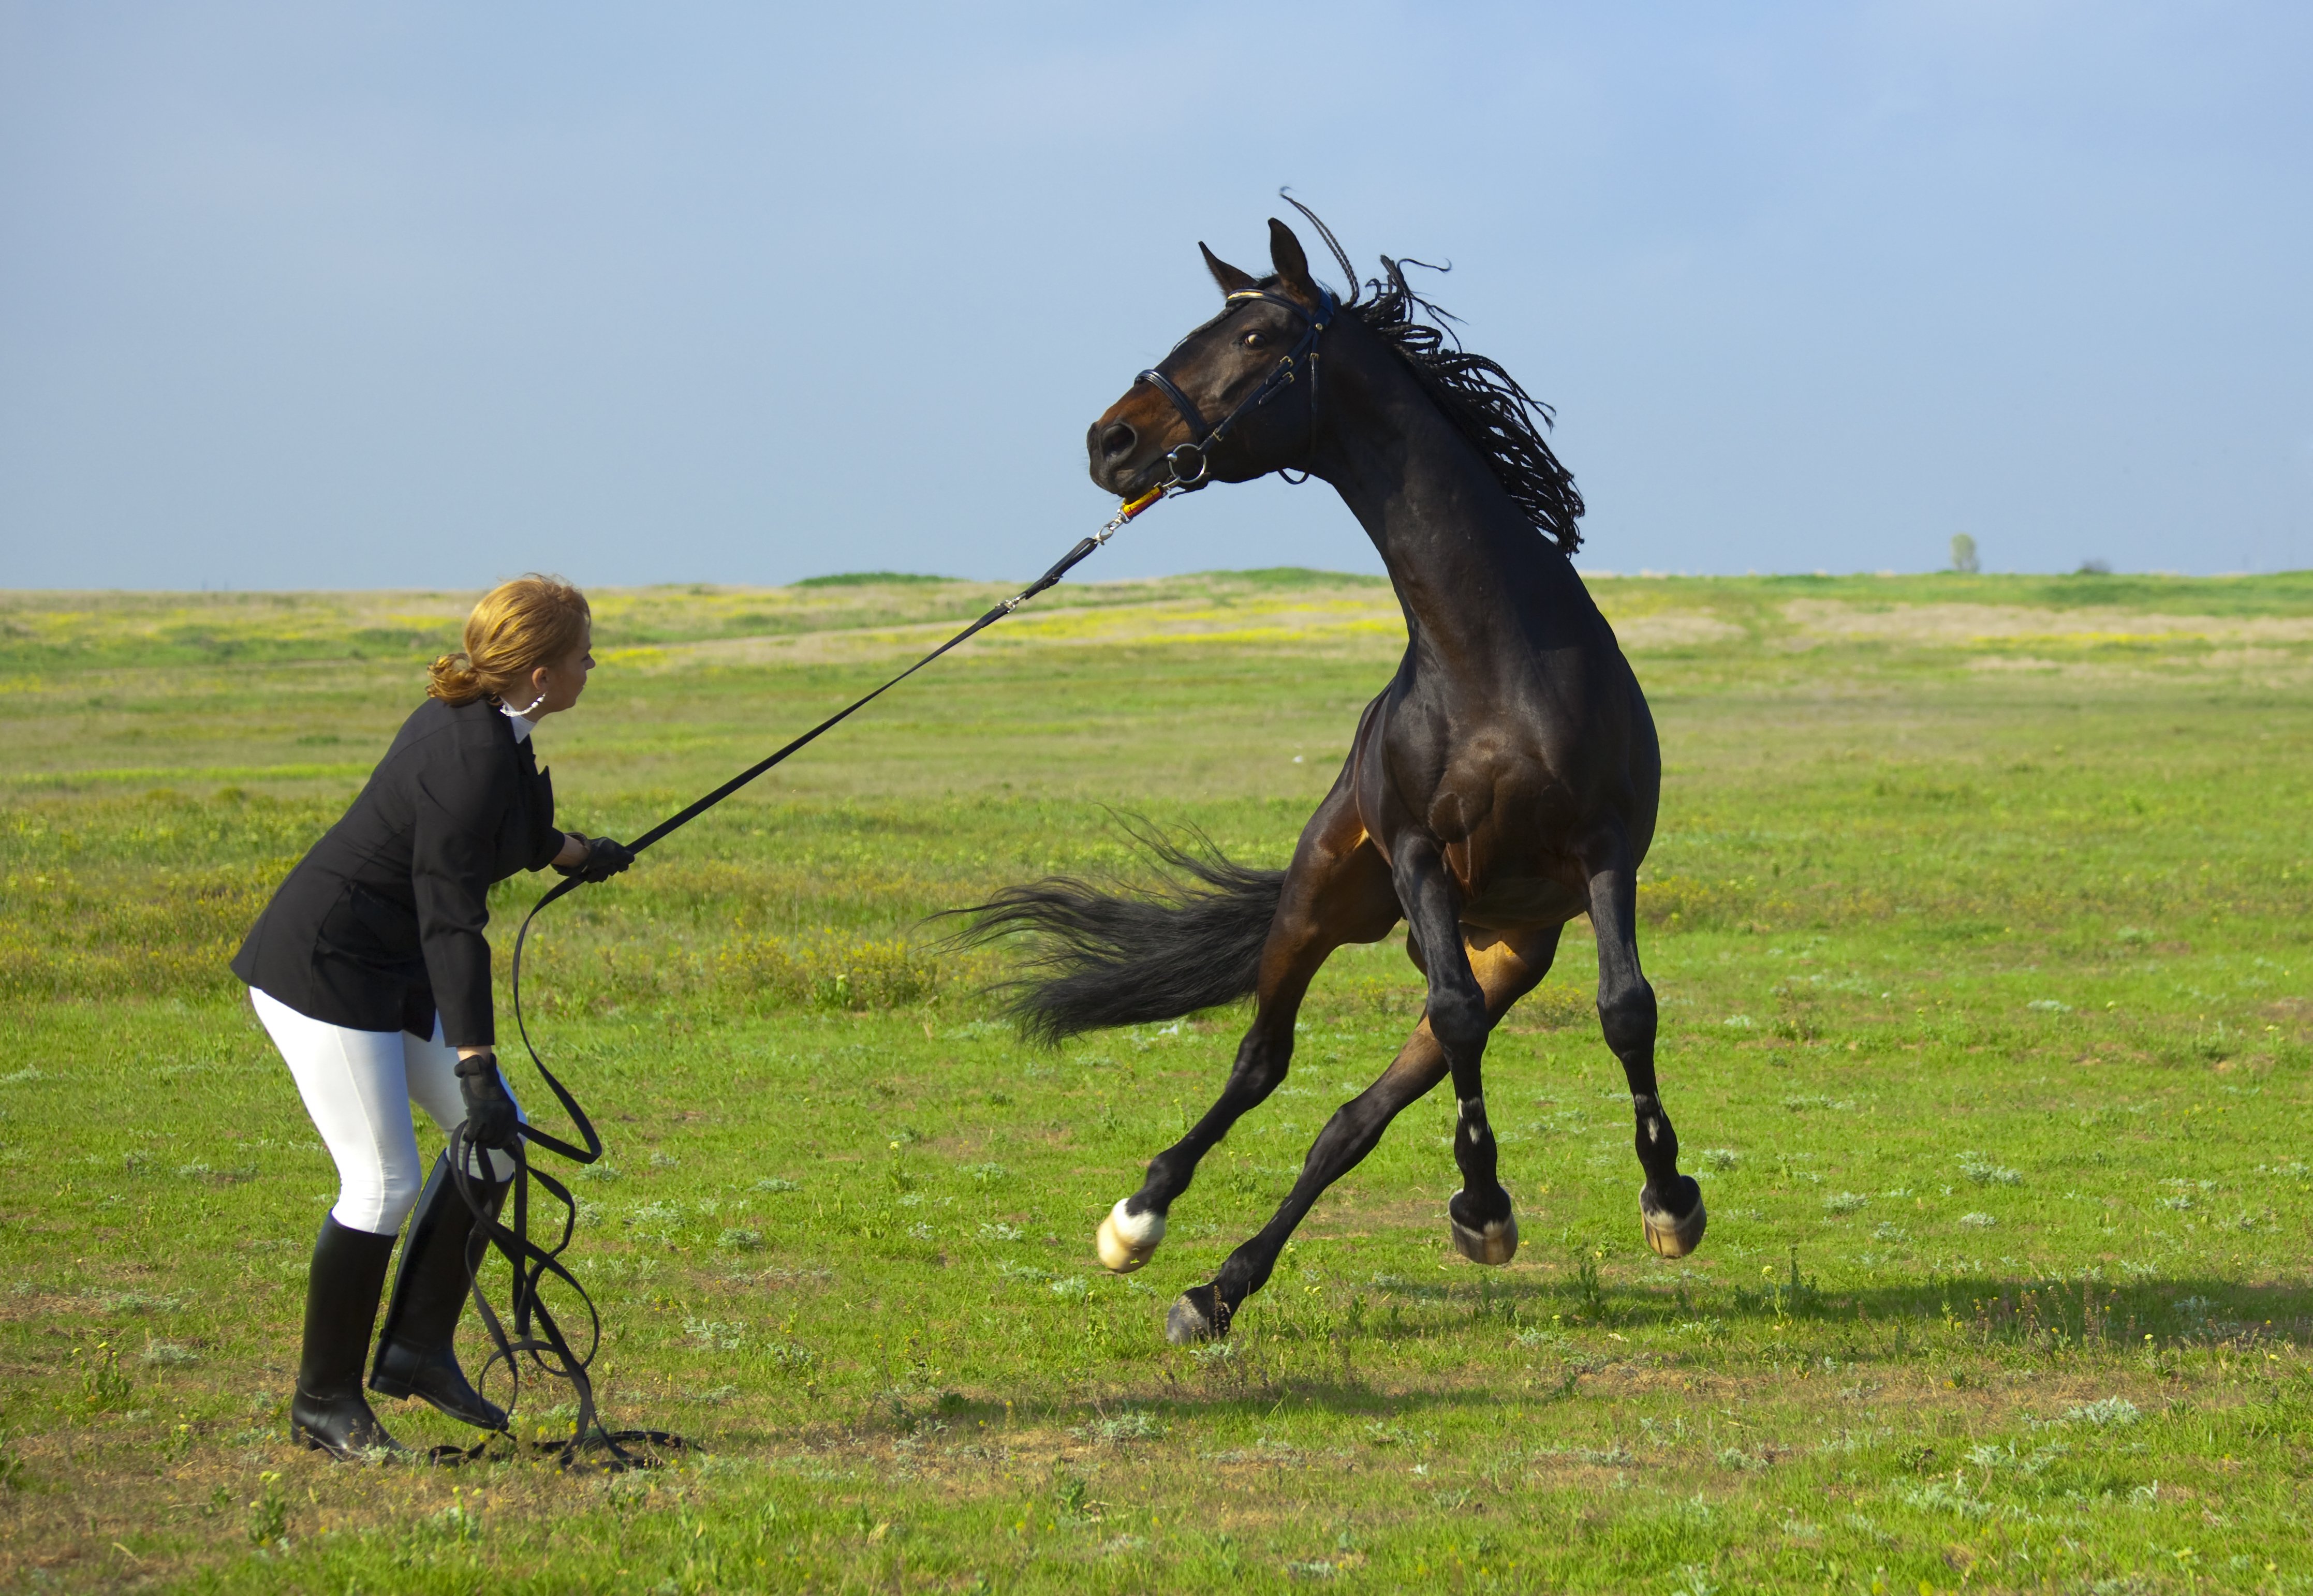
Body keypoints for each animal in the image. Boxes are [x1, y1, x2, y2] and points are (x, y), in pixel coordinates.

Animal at [957, 204, 1702, 1332]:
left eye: (1254, 336)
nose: (1109, 440)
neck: (1489, 658)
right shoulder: (1418, 854)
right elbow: (1450, 1022)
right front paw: (1483, 1208)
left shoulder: (1601, 846)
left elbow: (1623, 1008)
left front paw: (1665, 1200)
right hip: (1319, 900)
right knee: (1261, 1061)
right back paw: (1140, 1220)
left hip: (1505, 946)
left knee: (1351, 1119)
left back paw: (1217, 1288)